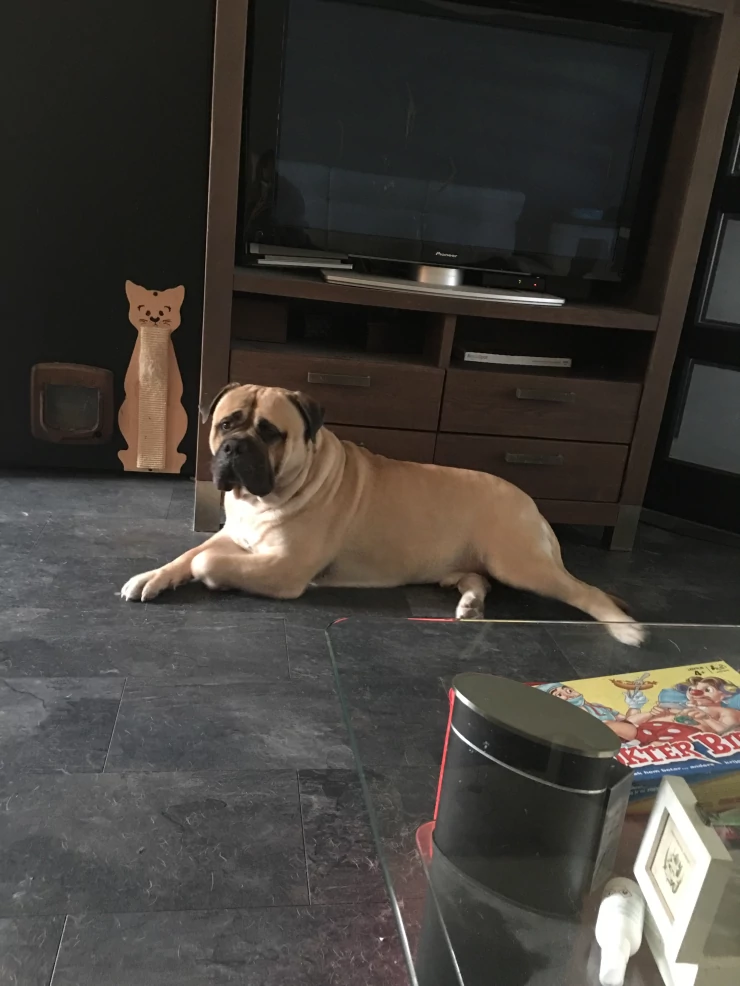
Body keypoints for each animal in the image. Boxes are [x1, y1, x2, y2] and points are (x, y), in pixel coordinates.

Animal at [121, 383, 644, 645]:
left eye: (270, 433)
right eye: (226, 423)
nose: (233, 447)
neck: (263, 498)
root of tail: (529, 501)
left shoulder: (284, 567)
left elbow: (205, 562)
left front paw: (210, 578)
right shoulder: (234, 536)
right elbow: (189, 555)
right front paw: (151, 577)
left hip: (519, 563)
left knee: (585, 591)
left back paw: (625, 629)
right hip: (471, 564)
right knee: (477, 580)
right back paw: (470, 605)